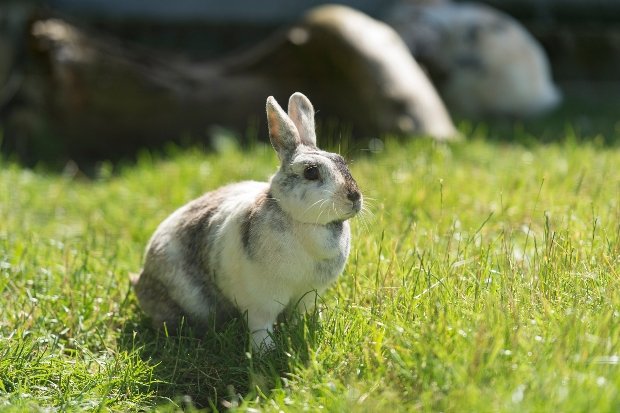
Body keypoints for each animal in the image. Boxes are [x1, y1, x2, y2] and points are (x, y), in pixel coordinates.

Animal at [131, 92, 364, 350]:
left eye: (341, 161)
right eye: (311, 172)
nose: (354, 197)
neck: (305, 223)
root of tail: (141, 278)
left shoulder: (307, 293)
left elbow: (298, 314)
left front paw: (300, 329)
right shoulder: (262, 300)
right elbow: (261, 326)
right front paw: (265, 351)